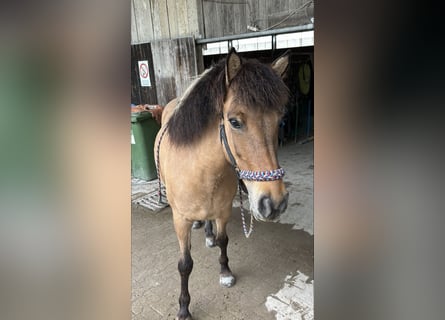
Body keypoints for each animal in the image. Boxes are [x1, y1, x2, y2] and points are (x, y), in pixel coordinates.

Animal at [154, 47, 290, 320]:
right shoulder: (180, 220)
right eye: (234, 122)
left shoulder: (223, 211)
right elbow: (185, 265)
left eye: (280, 120)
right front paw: (184, 308)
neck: (201, 169)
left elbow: (223, 241)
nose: (274, 204)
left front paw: (225, 273)